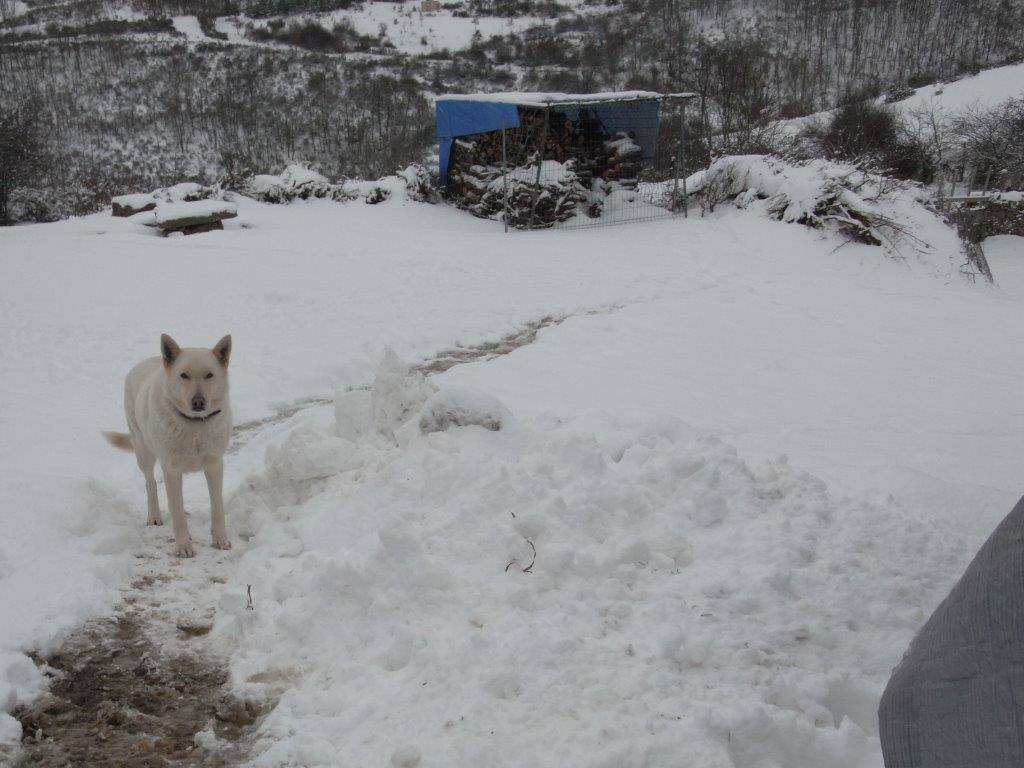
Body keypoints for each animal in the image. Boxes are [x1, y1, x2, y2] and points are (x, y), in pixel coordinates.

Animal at [108, 333, 235, 557]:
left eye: (209, 375)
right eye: (184, 375)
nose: (198, 402)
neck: (194, 425)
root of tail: (147, 361)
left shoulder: (214, 465)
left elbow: (217, 505)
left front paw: (220, 539)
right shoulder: (172, 469)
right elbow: (176, 511)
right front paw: (183, 546)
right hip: (144, 453)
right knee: (151, 484)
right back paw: (154, 516)